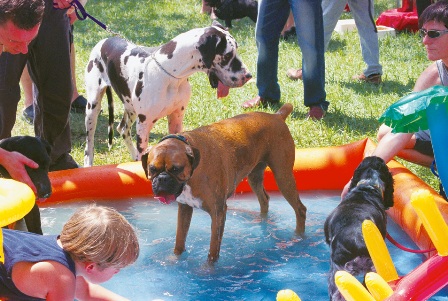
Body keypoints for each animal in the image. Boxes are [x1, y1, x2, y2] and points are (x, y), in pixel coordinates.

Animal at [83, 21, 252, 166]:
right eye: (227, 55)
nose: (248, 75)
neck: (171, 74)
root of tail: (104, 40)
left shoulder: (176, 117)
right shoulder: (143, 125)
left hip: (130, 107)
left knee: (123, 129)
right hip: (93, 108)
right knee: (89, 143)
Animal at [142, 103, 306, 262]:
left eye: (176, 169)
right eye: (152, 169)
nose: (162, 179)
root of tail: (277, 116)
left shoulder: (218, 213)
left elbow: (213, 252)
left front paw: (208, 269)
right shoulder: (184, 208)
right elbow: (179, 242)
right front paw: (174, 260)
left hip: (283, 176)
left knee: (300, 209)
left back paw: (298, 237)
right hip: (255, 176)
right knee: (264, 199)